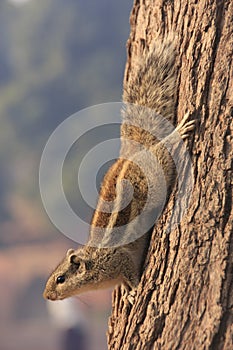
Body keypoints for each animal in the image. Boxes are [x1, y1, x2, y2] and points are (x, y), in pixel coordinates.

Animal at [43, 34, 195, 304]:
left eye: (60, 279)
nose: (46, 295)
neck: (94, 260)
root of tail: (134, 152)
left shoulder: (119, 260)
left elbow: (130, 273)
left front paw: (134, 290)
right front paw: (126, 292)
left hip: (157, 170)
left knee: (165, 148)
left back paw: (179, 132)